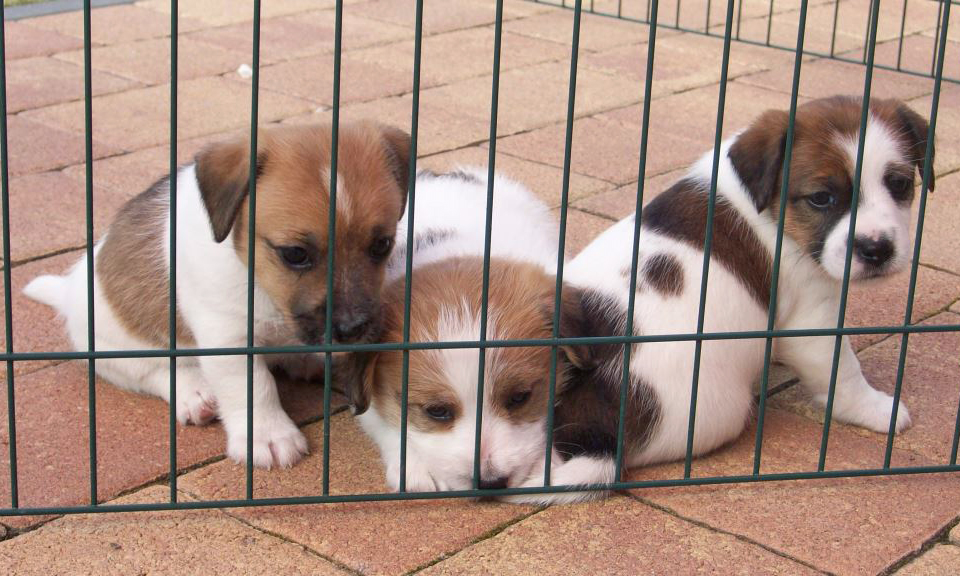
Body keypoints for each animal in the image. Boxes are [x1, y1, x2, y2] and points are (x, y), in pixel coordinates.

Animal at [24, 121, 410, 468]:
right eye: (295, 254)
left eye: (382, 245)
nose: (353, 329)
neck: (261, 286)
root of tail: (69, 289)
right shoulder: (228, 336)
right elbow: (253, 386)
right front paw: (267, 436)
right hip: (113, 348)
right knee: (154, 370)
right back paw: (194, 393)